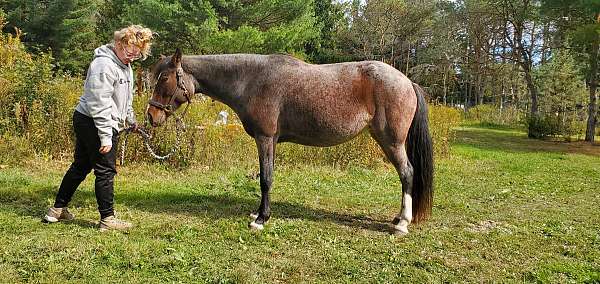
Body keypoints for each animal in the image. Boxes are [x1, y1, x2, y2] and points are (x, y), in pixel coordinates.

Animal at [148, 49, 434, 235]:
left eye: (164, 78)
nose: (151, 116)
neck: (251, 79)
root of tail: (407, 81)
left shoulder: (265, 138)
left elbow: (265, 179)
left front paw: (261, 220)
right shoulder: (270, 141)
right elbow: (266, 175)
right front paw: (258, 213)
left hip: (392, 141)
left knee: (407, 173)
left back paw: (402, 223)